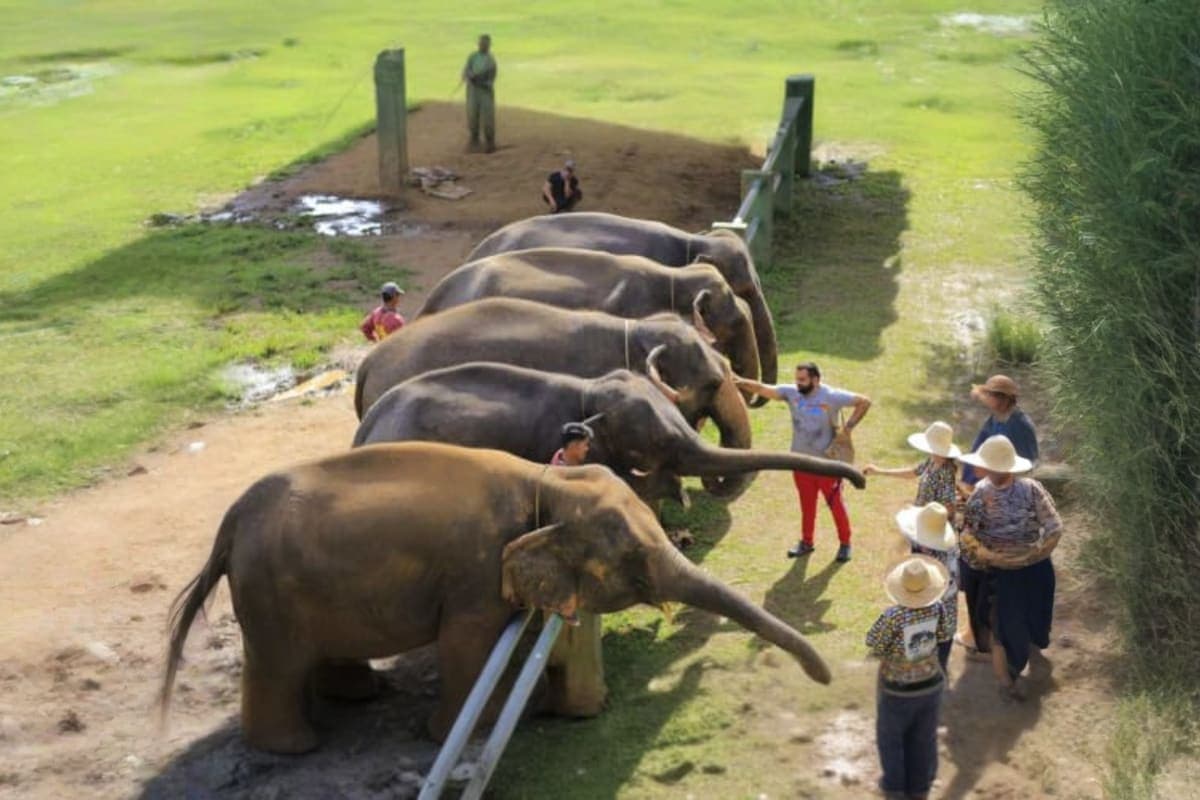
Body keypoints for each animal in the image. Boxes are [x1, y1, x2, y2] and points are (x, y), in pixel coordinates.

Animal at [160, 442, 832, 753]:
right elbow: (469, 645)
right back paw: (296, 746)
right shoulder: (474, 573)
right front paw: (451, 735)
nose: (821, 678)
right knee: (276, 665)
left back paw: (361, 695)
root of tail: (232, 522)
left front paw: (575, 708)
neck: (546, 480)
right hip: (271, 596)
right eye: (637, 565)